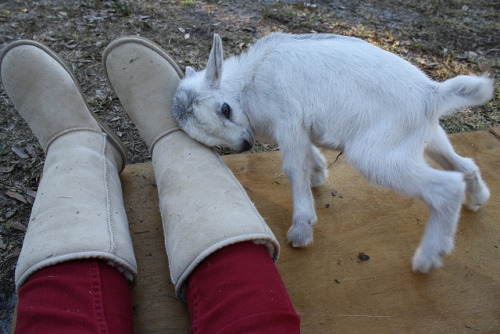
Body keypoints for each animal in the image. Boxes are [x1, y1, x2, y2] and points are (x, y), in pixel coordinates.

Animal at [172, 32, 492, 272]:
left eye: (225, 109)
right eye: (208, 138)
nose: (245, 145)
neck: (249, 83)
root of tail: (432, 94)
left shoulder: (288, 122)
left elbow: (292, 169)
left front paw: (301, 230)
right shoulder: (301, 130)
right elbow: (308, 156)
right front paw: (318, 175)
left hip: (375, 157)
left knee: (447, 188)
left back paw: (428, 258)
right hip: (430, 140)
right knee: (464, 166)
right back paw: (477, 199)